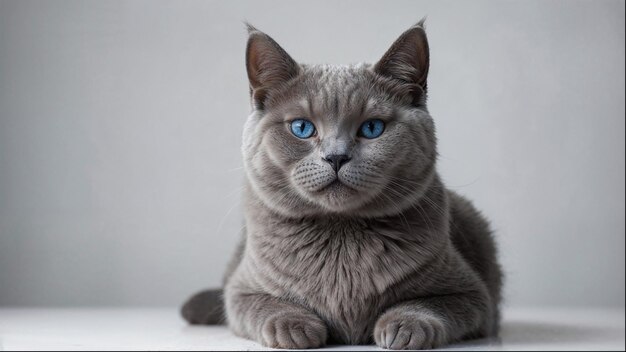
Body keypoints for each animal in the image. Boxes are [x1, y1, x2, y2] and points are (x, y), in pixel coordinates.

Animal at [178, 21, 500, 350]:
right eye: (302, 128)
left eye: (372, 128)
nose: (336, 157)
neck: (340, 236)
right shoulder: (241, 290)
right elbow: (265, 306)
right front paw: (294, 327)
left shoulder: (471, 295)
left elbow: (427, 304)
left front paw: (404, 327)